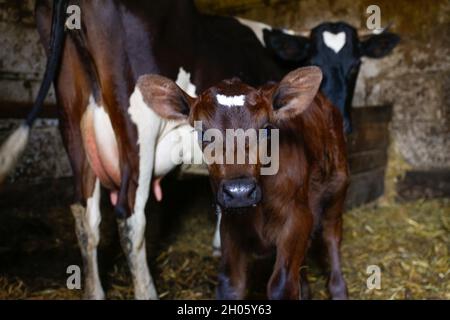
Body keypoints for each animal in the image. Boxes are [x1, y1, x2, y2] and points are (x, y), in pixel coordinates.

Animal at [139, 67, 350, 300]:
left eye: (266, 129)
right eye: (203, 132)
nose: (239, 191)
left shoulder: (298, 217)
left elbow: (282, 284)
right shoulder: (231, 227)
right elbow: (231, 283)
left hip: (338, 187)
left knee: (332, 235)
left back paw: (339, 290)